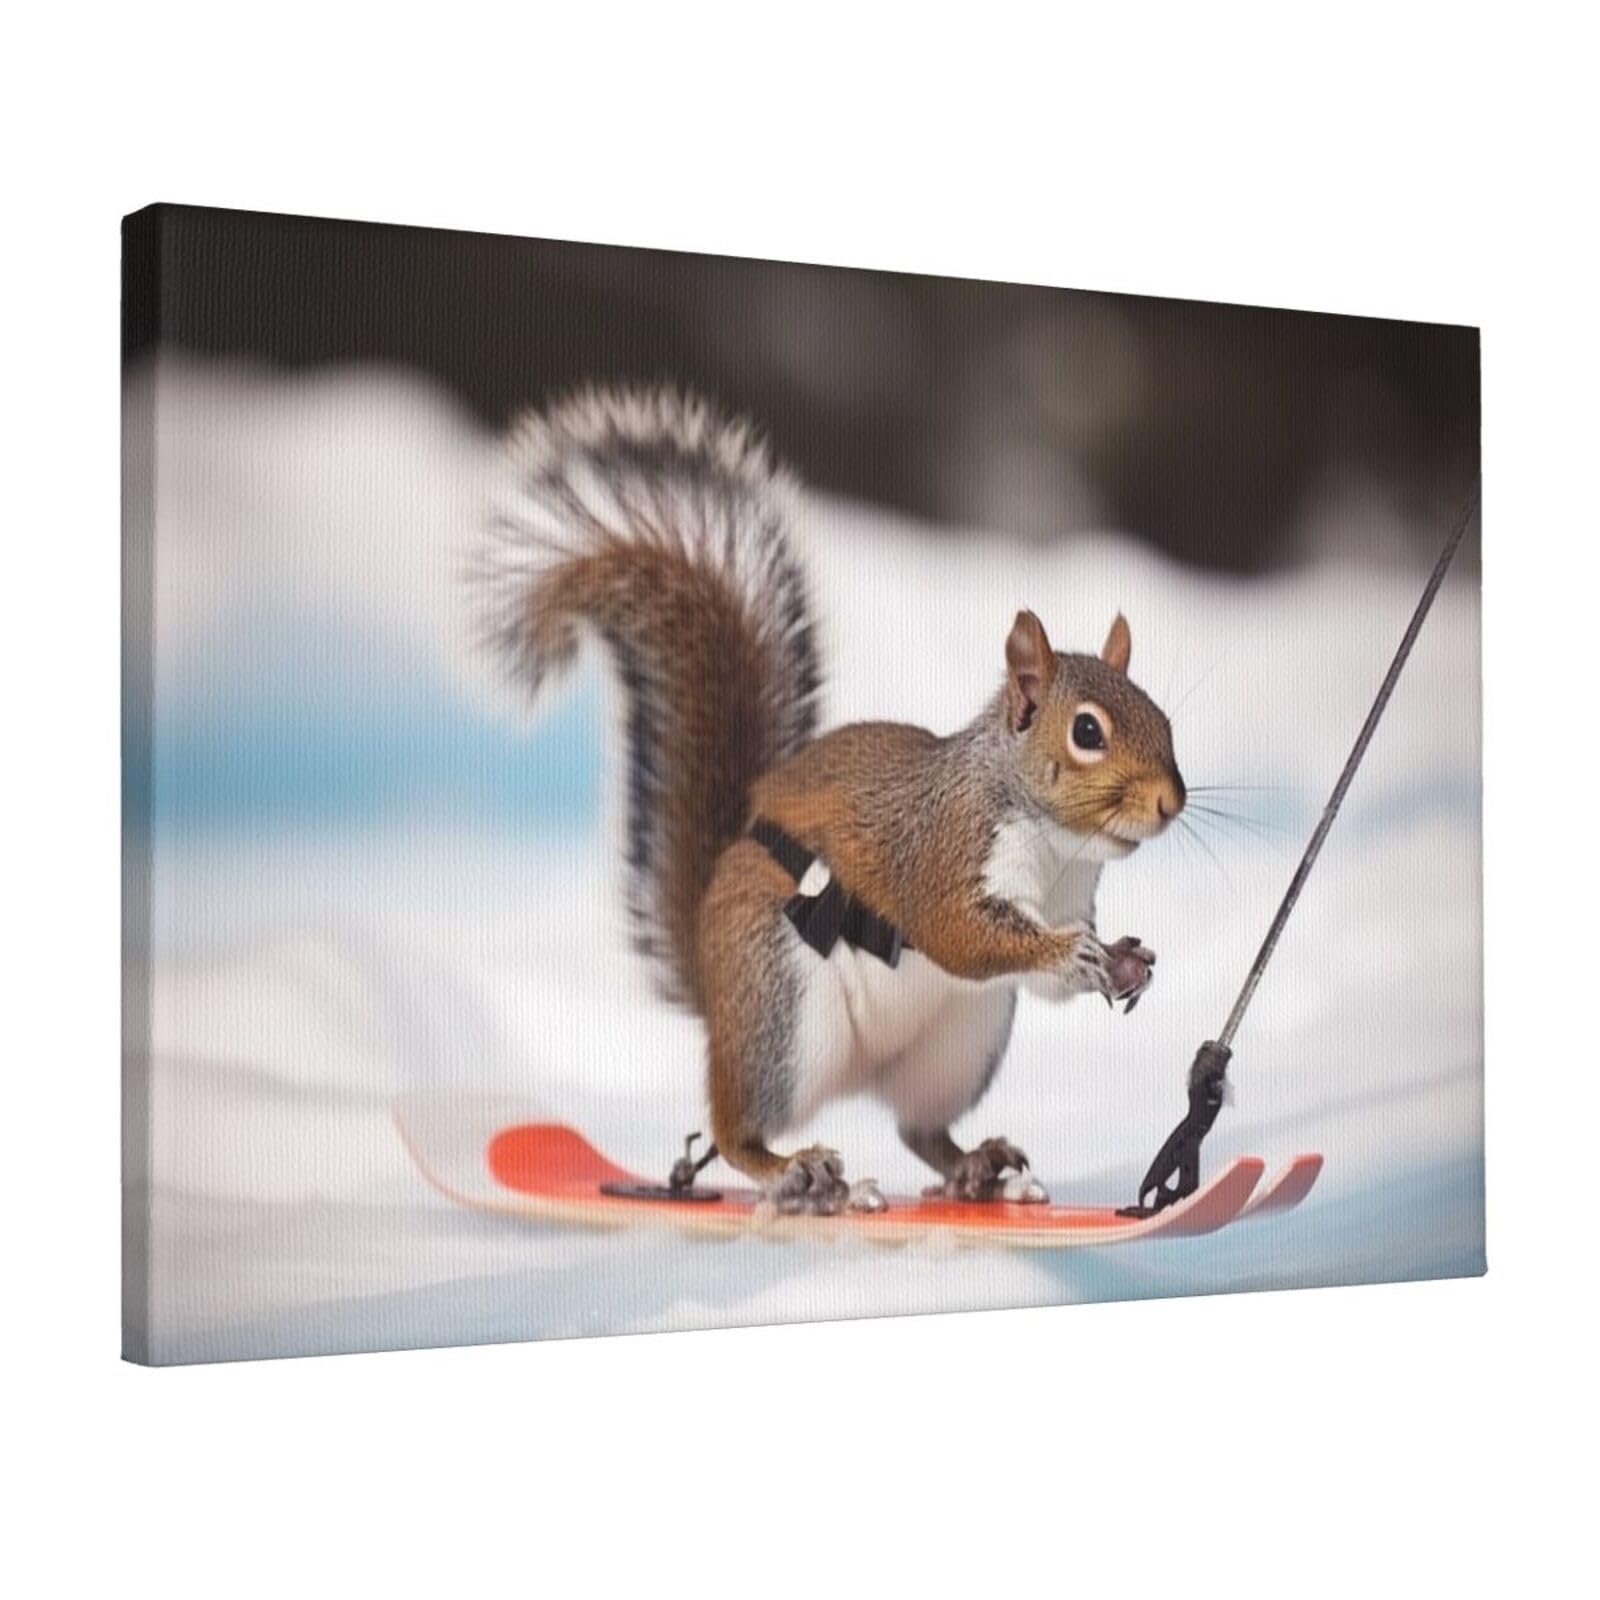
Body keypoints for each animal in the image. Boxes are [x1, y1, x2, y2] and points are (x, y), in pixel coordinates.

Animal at [473, 387, 1185, 1214]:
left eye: (1165, 719)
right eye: (1087, 732)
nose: (1170, 803)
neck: (1055, 848)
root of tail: (714, 987)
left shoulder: (1068, 899)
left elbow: (1045, 983)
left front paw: (1126, 961)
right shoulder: (941, 851)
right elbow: (959, 934)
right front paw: (1070, 952)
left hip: (959, 1041)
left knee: (920, 1130)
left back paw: (978, 1168)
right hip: (784, 1015)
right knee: (733, 1130)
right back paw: (796, 1171)